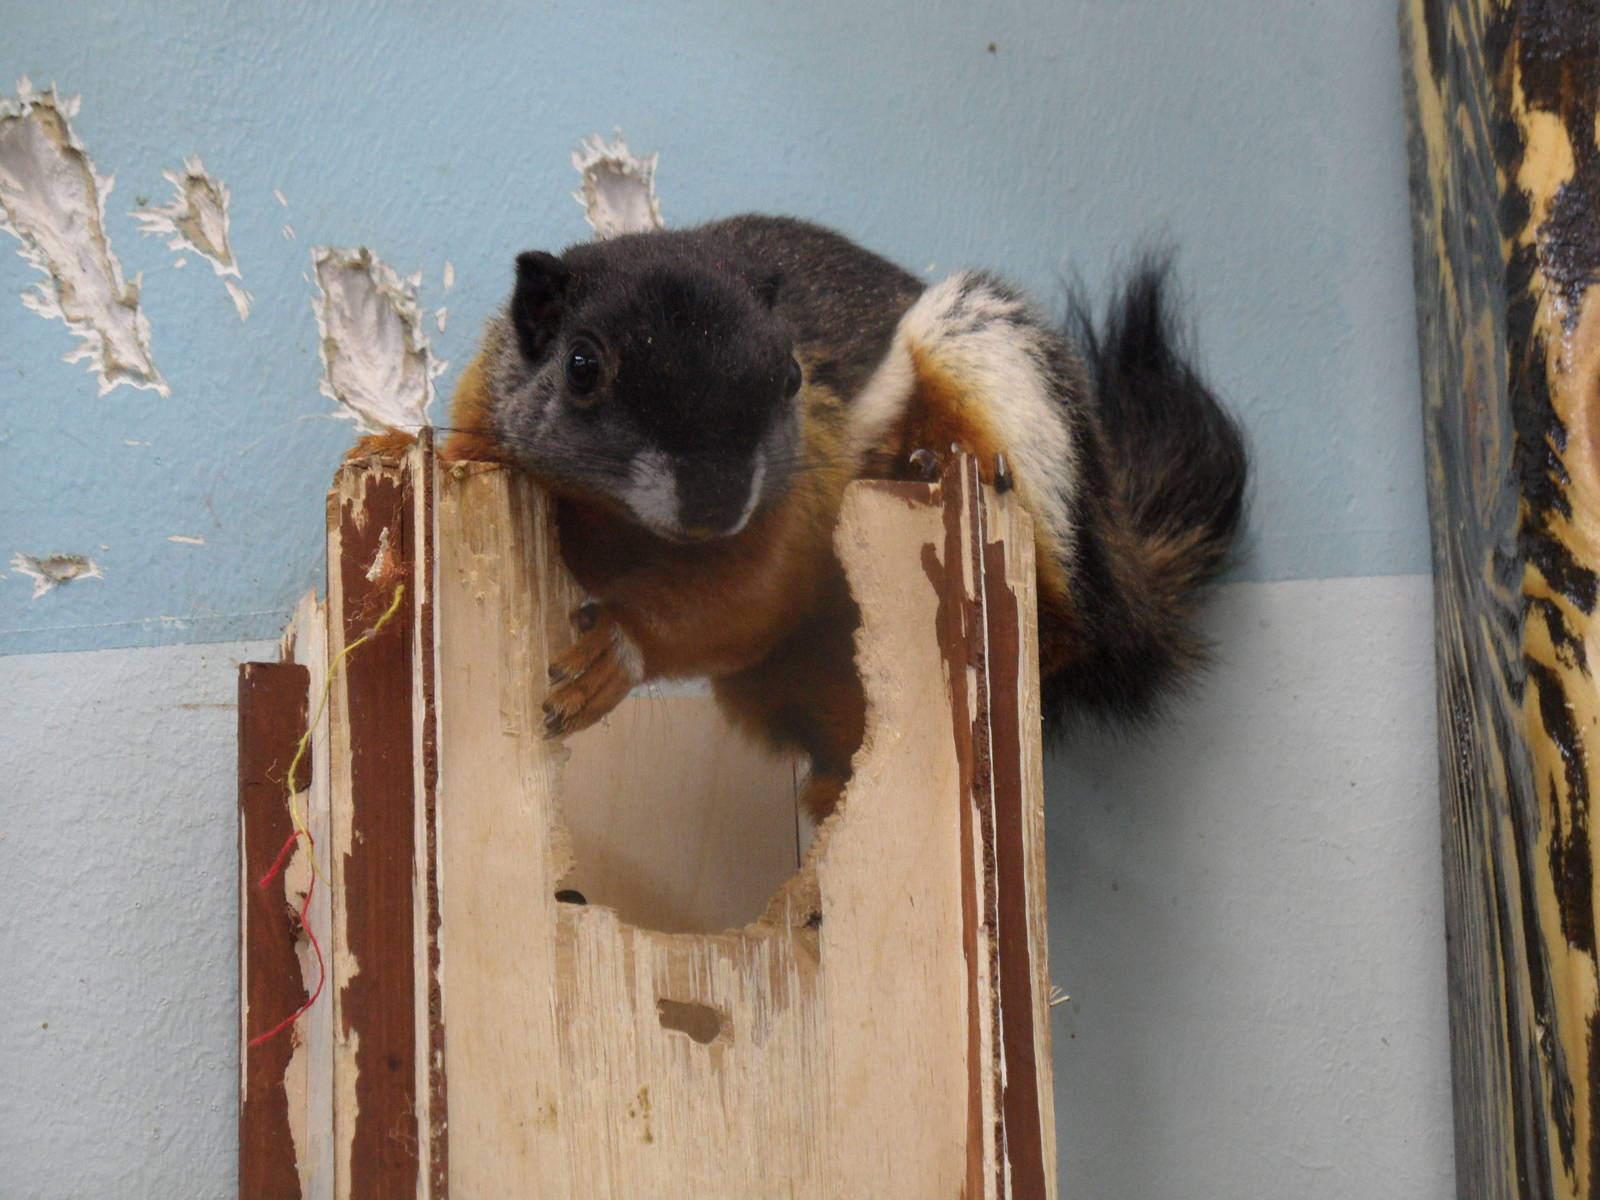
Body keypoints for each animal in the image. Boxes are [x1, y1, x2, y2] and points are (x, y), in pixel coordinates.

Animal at [380, 214, 1247, 818]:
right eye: (582, 366)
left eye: (791, 375)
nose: (716, 501)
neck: (622, 525)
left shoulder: (794, 505)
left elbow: (740, 602)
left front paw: (614, 653)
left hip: (991, 364)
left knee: (1072, 620)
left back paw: (926, 468)